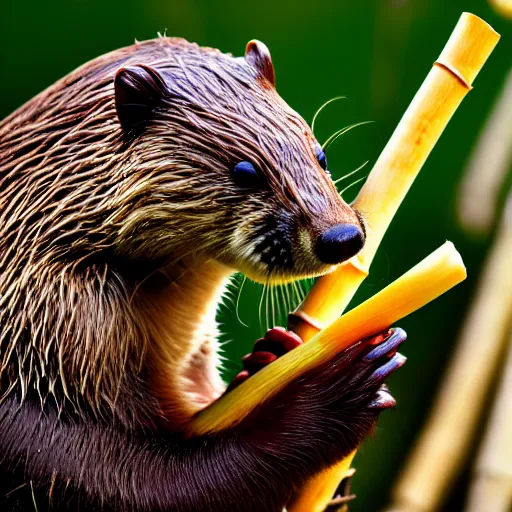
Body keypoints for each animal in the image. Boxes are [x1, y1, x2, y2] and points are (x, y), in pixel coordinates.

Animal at [0, 37, 408, 512]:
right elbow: (154, 488)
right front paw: (331, 396)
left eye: (320, 154)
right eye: (245, 171)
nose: (340, 235)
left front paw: (269, 355)